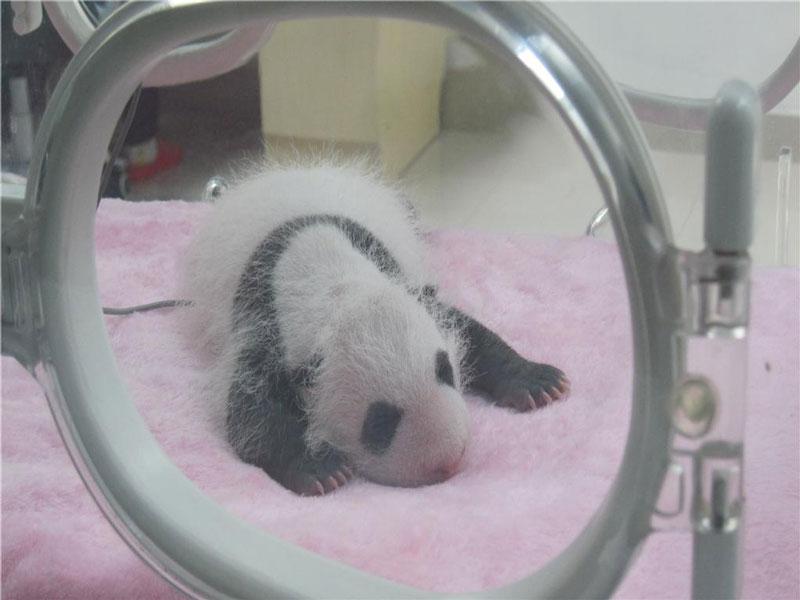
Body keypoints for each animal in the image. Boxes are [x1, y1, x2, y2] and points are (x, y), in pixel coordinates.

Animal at [181, 160, 569, 496]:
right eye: (379, 422)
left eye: (445, 370)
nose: (449, 460)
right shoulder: (265, 328)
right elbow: (251, 415)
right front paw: (320, 470)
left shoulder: (404, 285)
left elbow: (470, 332)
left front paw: (538, 382)